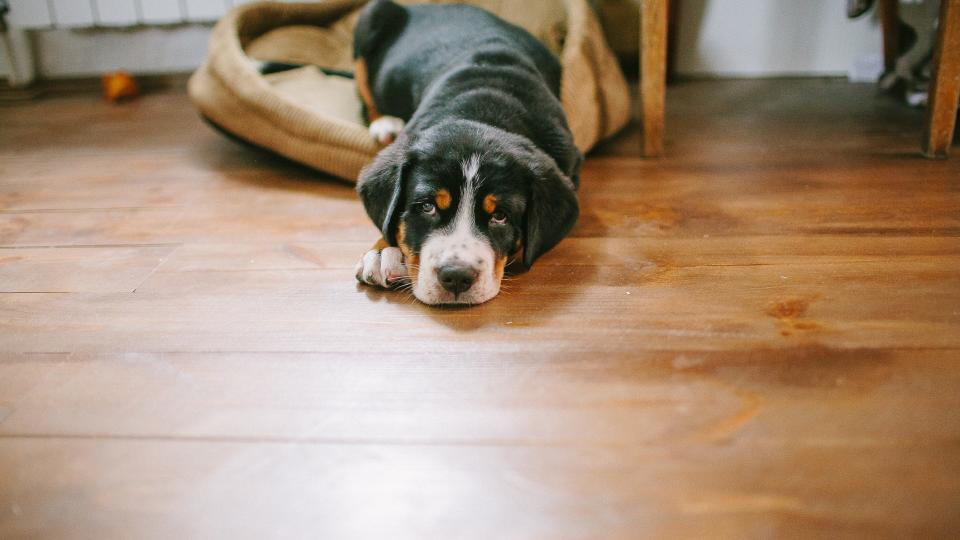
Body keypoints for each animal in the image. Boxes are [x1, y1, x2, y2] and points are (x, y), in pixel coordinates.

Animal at [350, 0, 576, 304]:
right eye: (427, 207)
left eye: (500, 216)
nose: (456, 276)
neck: (483, 107)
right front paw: (381, 251)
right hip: (372, 16)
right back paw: (385, 123)